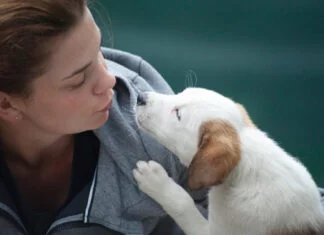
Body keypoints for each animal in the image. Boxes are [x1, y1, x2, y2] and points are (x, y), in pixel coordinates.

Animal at [132, 88, 324, 235]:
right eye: (181, 93)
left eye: (178, 114)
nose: (140, 97)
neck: (244, 171)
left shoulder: (212, 231)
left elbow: (183, 202)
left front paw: (156, 181)